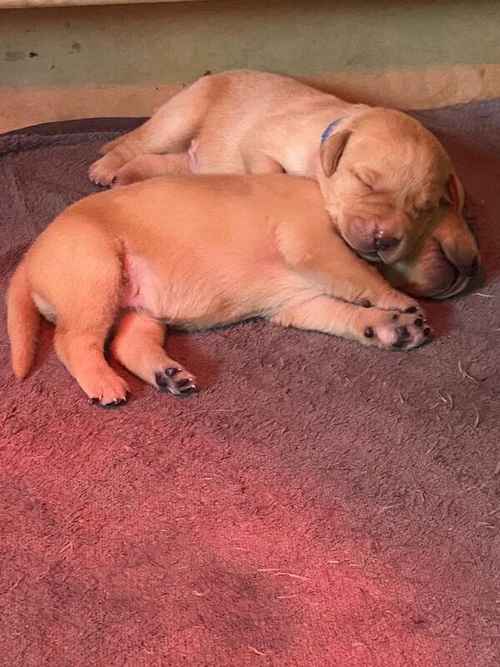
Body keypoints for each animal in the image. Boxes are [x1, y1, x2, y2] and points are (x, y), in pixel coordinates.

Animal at [6, 174, 430, 408]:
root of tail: (29, 258)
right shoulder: (315, 244)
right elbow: (361, 276)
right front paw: (402, 303)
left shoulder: (300, 302)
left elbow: (346, 312)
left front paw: (391, 326)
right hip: (96, 273)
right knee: (73, 342)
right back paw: (103, 382)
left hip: (139, 308)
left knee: (126, 343)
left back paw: (168, 375)